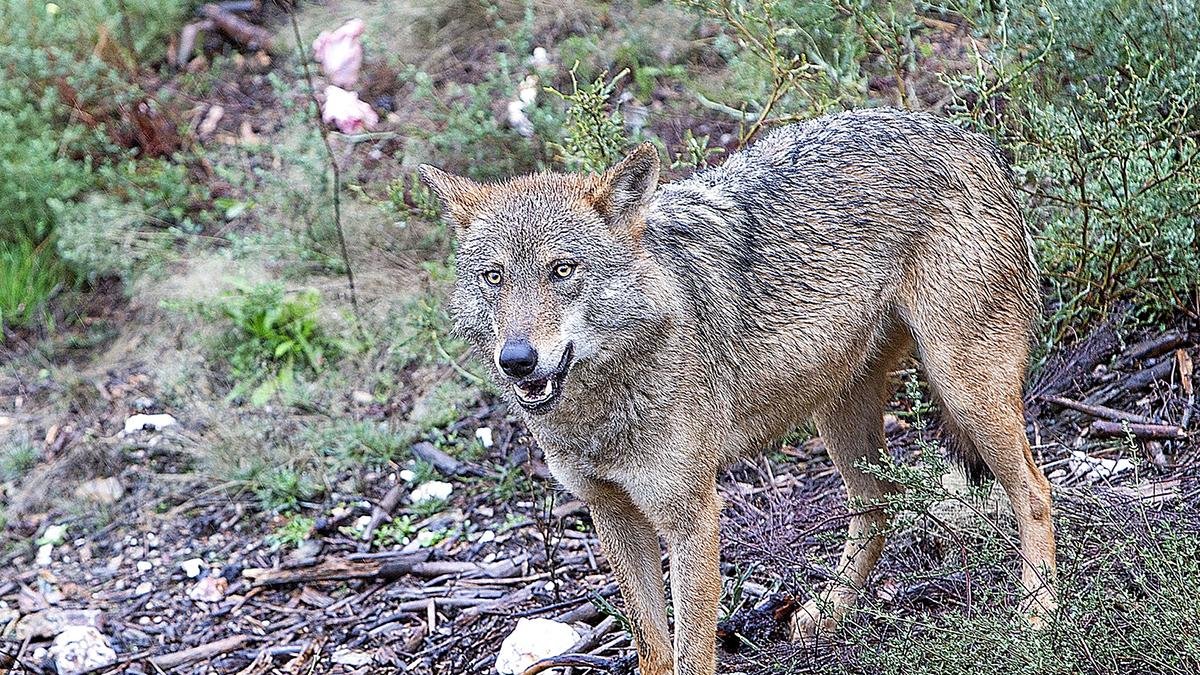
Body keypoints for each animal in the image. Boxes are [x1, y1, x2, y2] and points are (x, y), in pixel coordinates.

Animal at [419, 108, 1056, 675]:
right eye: (493, 278)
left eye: (562, 271)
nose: (517, 360)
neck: (604, 406)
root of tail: (967, 136)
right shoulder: (614, 518)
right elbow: (654, 649)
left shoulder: (692, 518)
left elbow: (693, 654)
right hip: (839, 416)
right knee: (878, 505)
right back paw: (832, 612)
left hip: (963, 390)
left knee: (1035, 490)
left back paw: (1039, 613)